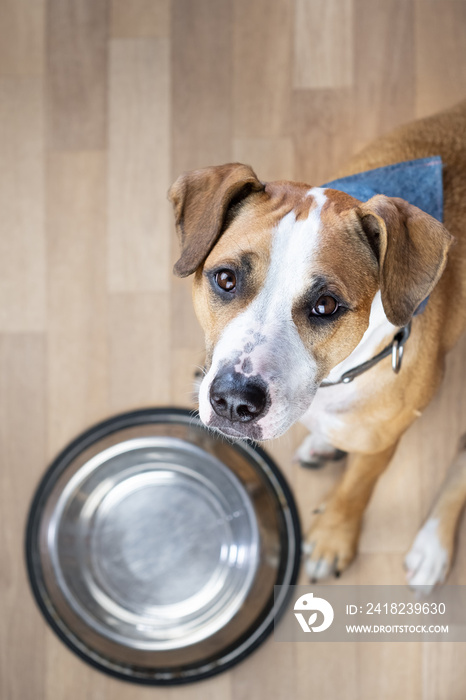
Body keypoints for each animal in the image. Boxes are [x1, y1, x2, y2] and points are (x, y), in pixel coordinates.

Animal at [169, 100, 466, 592]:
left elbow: (356, 489)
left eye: (326, 305)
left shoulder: (381, 443)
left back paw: (432, 547)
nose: (233, 401)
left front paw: (332, 539)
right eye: (225, 279)